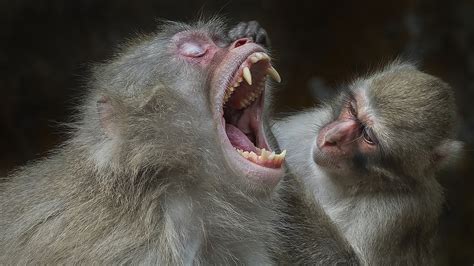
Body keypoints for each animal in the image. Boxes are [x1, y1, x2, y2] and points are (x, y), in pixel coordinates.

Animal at [274, 61, 462, 264]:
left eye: (368, 136)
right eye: (352, 110)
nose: (331, 137)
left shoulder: (398, 212)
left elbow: (349, 261)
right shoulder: (307, 127)